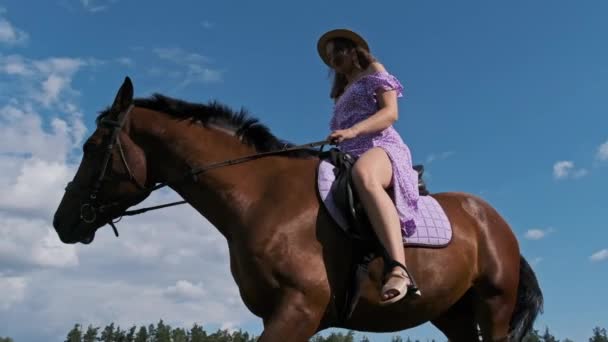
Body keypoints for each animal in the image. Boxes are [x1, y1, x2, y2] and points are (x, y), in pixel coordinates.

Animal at [53, 78, 540, 342]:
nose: (61, 222)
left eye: (92, 147)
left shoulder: (298, 310)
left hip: (493, 306)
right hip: (452, 314)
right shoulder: (282, 313)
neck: (261, 197)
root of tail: (493, 221)